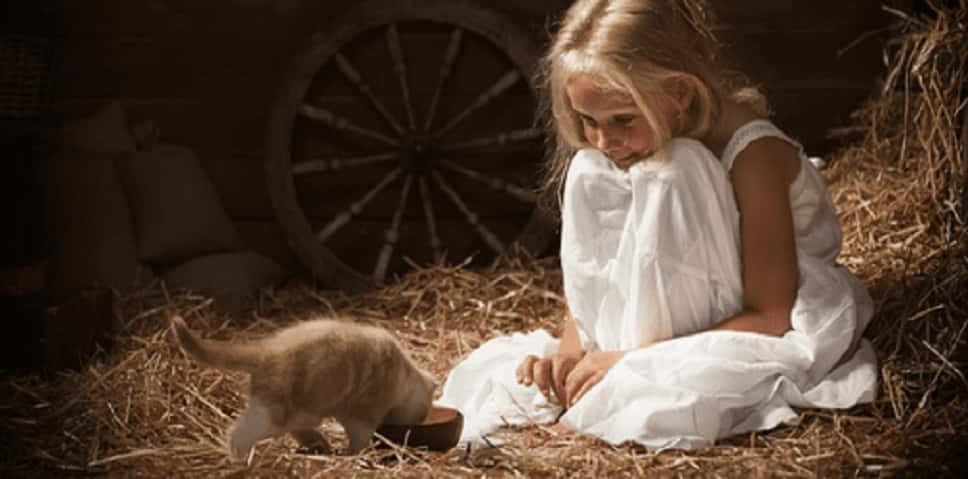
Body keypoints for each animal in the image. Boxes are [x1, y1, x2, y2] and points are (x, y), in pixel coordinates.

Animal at [170, 316, 434, 462]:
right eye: (421, 415)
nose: (417, 423)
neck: (405, 378)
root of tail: (267, 351)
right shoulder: (363, 415)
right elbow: (359, 440)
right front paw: (353, 455)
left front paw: (326, 446)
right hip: (274, 414)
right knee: (238, 433)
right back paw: (240, 461)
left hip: (295, 409)